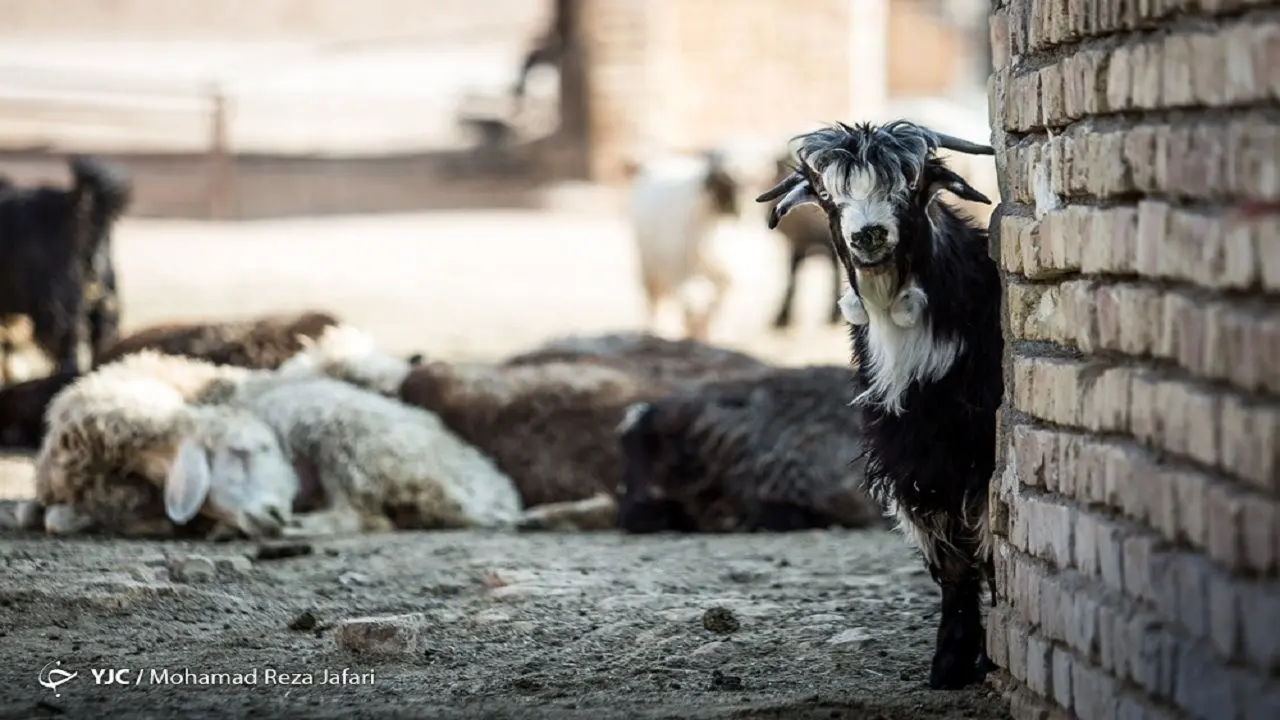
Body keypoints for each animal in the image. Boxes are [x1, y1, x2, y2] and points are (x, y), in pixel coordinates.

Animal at [20, 348, 522, 538]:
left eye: (265, 449)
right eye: (239, 453)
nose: (277, 512)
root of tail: (495, 491)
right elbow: (40, 515)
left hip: (343, 436)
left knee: (362, 516)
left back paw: (301, 527)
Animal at [752, 120, 1003, 686]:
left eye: (911, 182)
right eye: (826, 194)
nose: (868, 234)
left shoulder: (975, 453)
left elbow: (983, 546)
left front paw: (976, 660)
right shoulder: (911, 457)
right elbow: (952, 561)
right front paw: (950, 661)